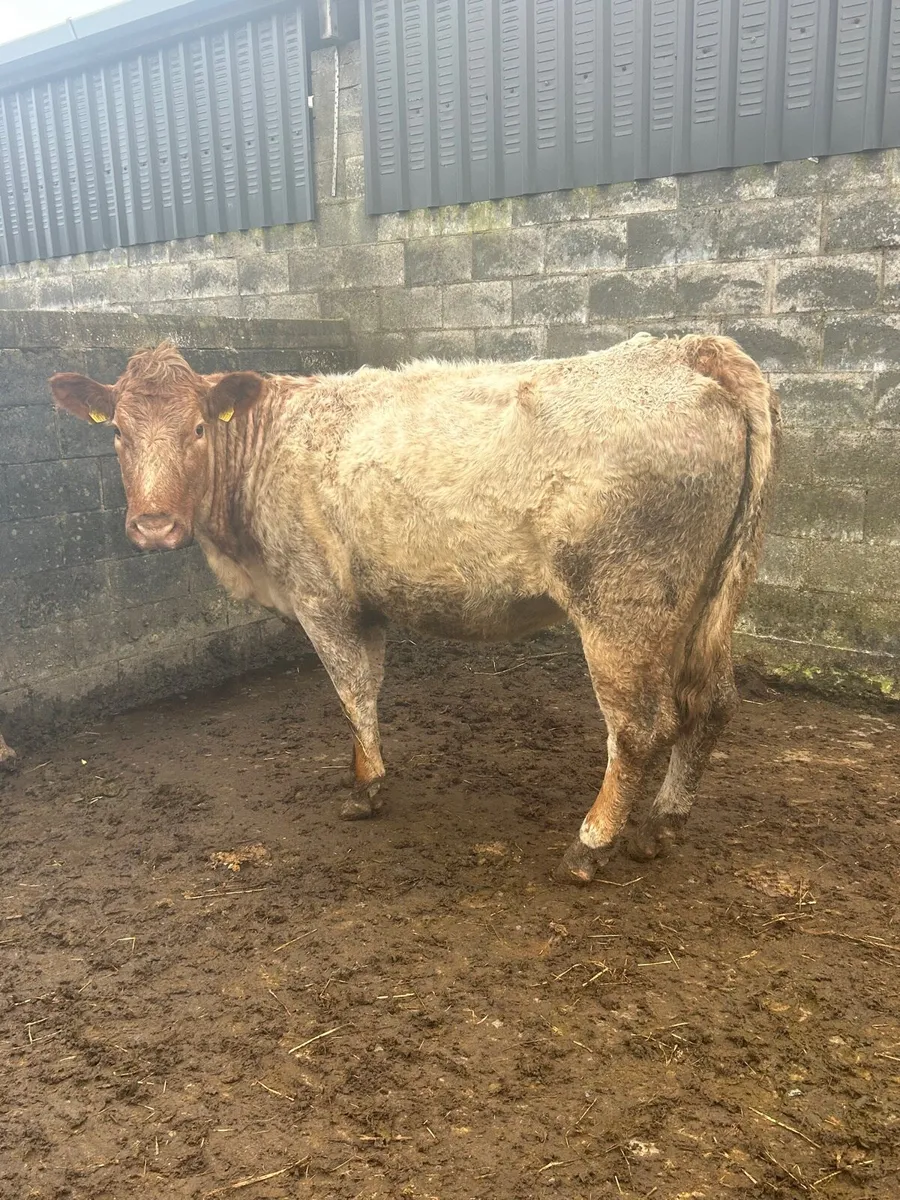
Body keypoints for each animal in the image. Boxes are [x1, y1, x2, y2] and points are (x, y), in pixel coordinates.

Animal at [50, 333, 780, 883]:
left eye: (198, 427)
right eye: (118, 432)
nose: (153, 526)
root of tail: (689, 350)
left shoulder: (319, 594)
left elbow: (351, 690)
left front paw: (366, 791)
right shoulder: (365, 602)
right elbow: (368, 688)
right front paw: (364, 774)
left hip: (624, 605)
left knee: (640, 728)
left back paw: (590, 845)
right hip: (702, 602)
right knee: (711, 703)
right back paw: (662, 826)